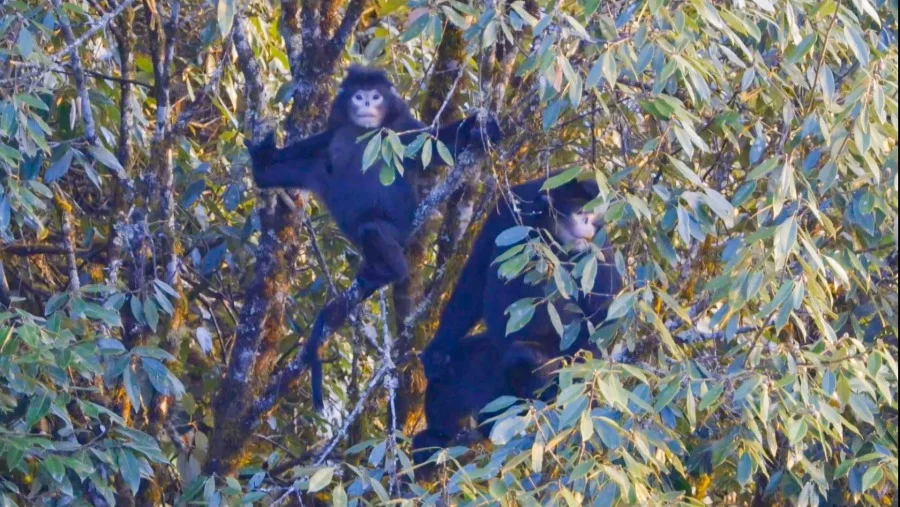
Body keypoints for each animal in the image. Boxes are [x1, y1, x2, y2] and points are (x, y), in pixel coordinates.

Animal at [246, 65, 502, 410]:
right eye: (359, 95)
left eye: (376, 96)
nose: (367, 102)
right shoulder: (332, 132)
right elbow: (295, 159)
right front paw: (265, 153)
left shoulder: (403, 128)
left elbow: (437, 142)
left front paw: (483, 127)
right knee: (309, 168)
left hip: (399, 232)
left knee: (374, 230)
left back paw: (389, 272)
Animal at [420, 175, 624, 384]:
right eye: (581, 212)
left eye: (592, 217)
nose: (588, 222)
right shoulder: (509, 208)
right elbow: (477, 272)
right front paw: (437, 350)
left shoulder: (598, 241)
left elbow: (603, 308)